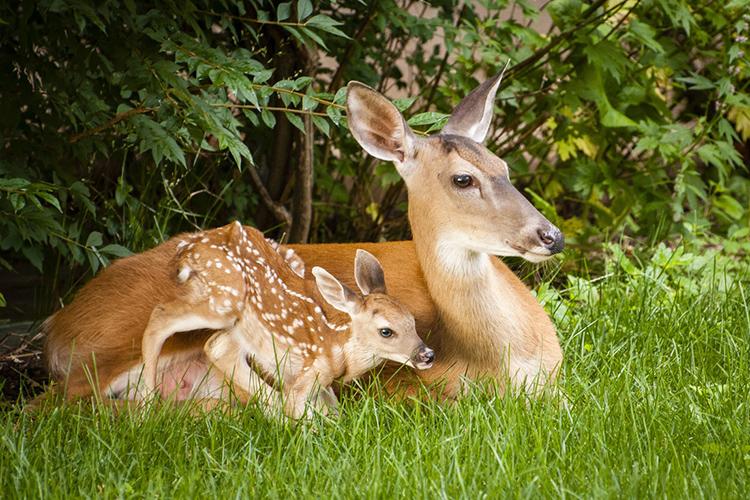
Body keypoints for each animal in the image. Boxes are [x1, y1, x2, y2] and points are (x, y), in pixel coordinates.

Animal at [131, 221, 433, 418]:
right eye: (386, 331)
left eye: (412, 321)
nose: (427, 354)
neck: (340, 351)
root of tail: (187, 246)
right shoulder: (311, 372)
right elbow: (298, 408)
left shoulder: (320, 384)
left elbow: (331, 410)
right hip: (223, 300)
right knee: (160, 318)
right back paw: (145, 409)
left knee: (217, 345)